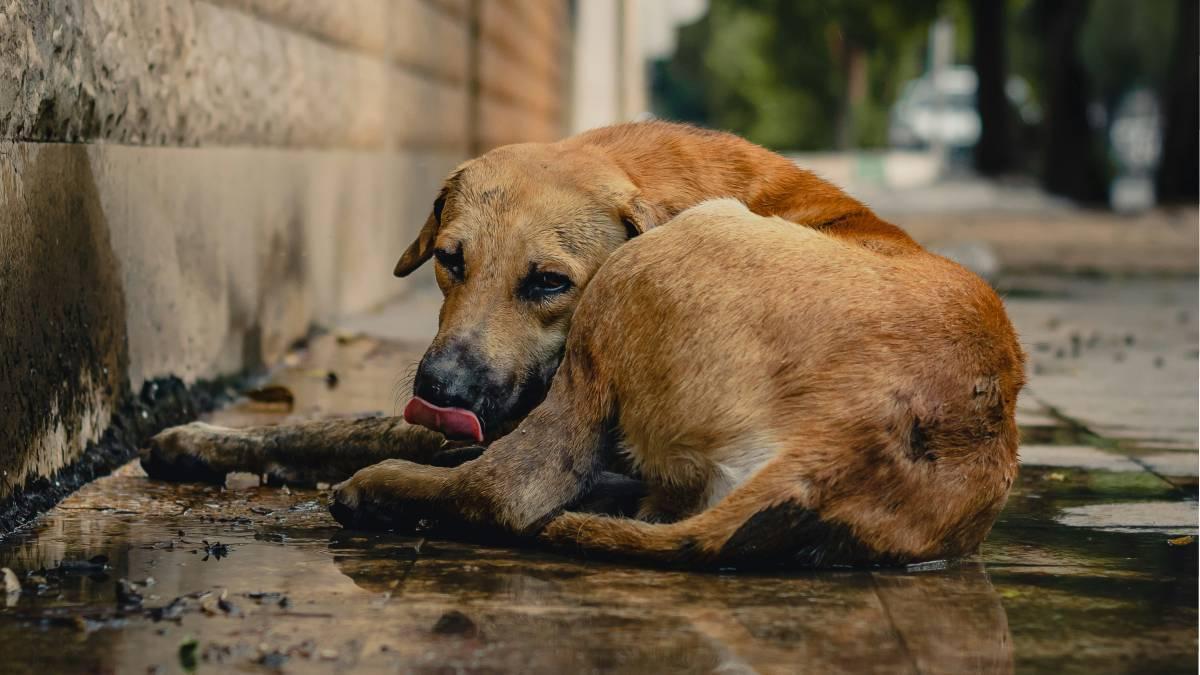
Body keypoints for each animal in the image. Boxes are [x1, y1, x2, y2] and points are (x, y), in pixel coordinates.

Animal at [142, 121, 1022, 566]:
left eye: (547, 282)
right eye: (450, 259)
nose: (441, 389)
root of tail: (848, 443)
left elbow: (370, 434)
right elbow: (326, 424)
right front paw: (202, 442)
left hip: (631, 279)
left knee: (506, 489)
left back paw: (384, 493)